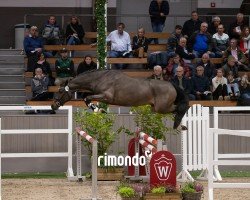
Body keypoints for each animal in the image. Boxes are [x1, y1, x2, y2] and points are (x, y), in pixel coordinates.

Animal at [50, 70, 188, 130]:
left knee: (180, 108)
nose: (53, 106)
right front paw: (100, 110)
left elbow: (87, 98)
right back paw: (181, 126)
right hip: (156, 108)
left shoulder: (106, 96)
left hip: (162, 107)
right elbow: (86, 97)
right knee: (177, 109)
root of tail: (171, 84)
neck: (99, 78)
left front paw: (97, 110)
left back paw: (179, 125)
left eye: (60, 91)